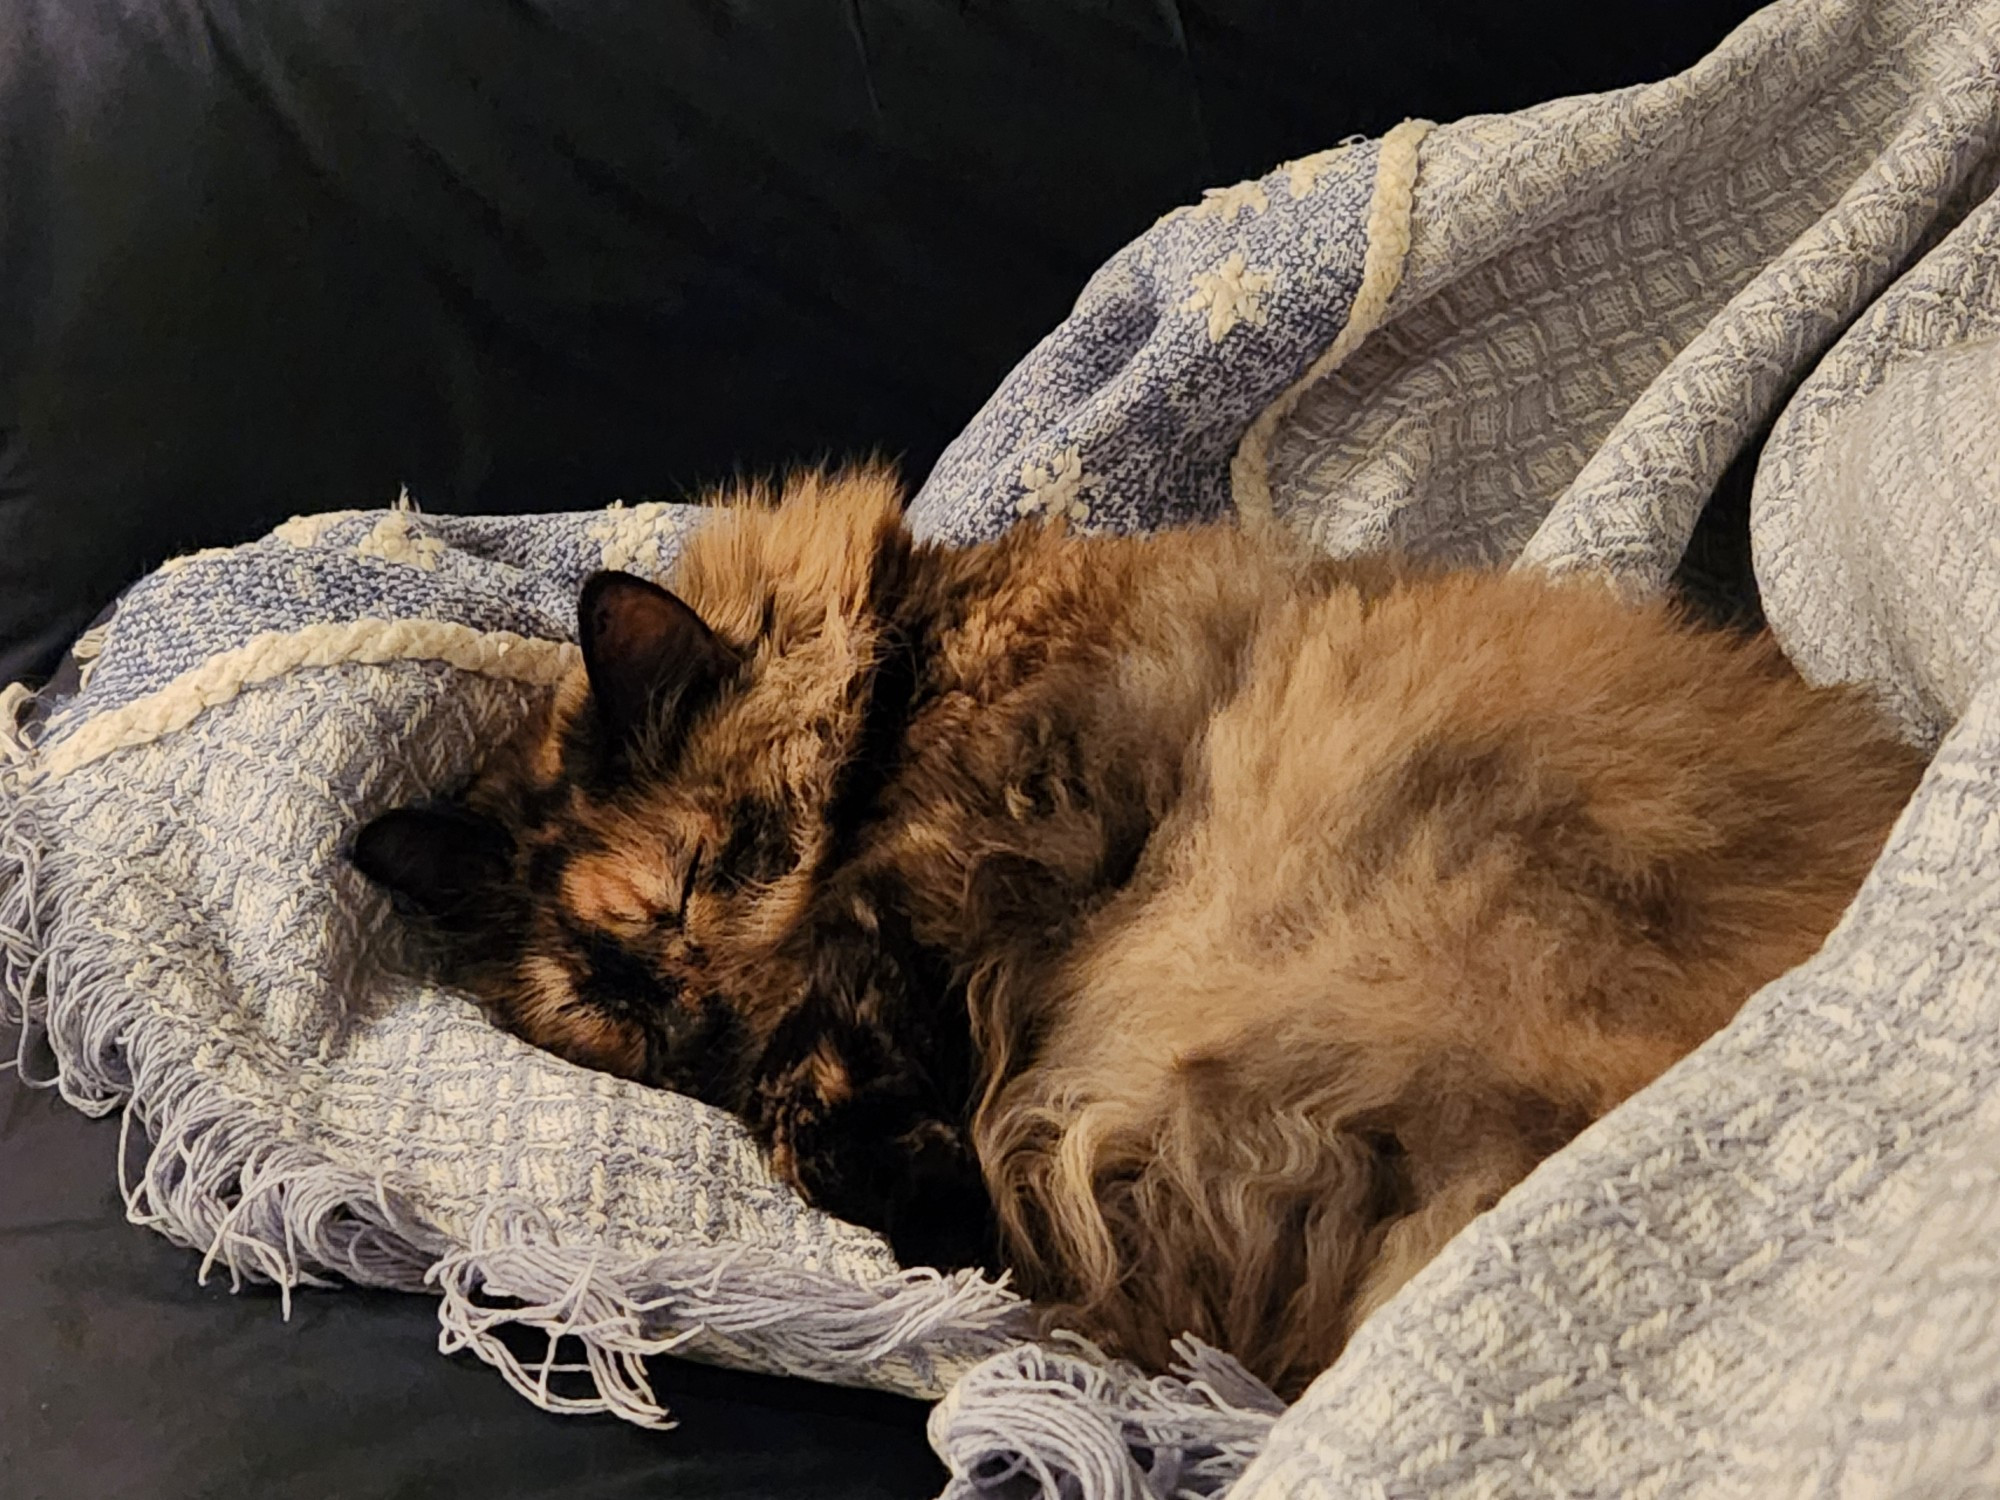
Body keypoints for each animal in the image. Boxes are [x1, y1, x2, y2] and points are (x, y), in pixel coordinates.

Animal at [352, 468, 1928, 1400]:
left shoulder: (942, 913)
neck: (923, 672)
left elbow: (843, 1100)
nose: (698, 1023)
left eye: (701, 882)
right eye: (608, 1007)